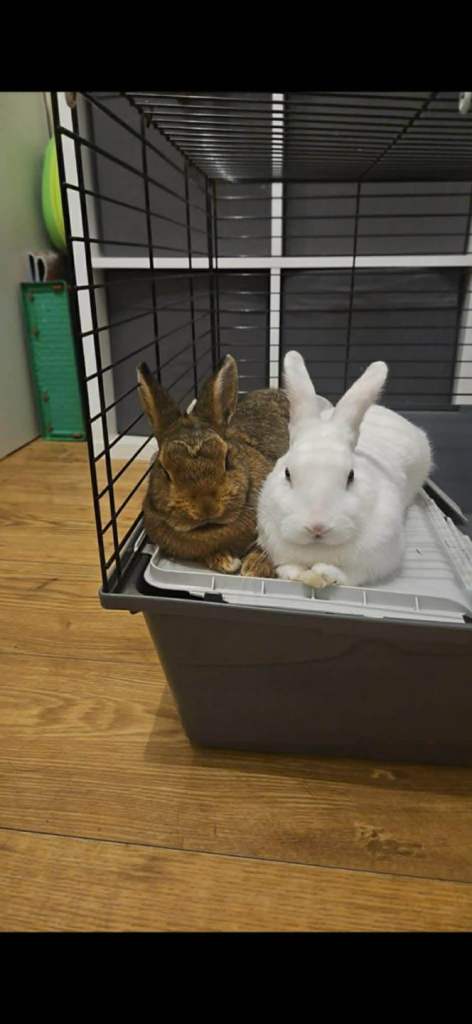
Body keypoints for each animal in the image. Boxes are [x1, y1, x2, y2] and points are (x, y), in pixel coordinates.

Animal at [257, 350, 433, 589]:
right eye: (287, 474)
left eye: (351, 476)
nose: (317, 527)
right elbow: (289, 567)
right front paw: (299, 574)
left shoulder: (377, 560)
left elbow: (350, 575)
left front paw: (325, 573)